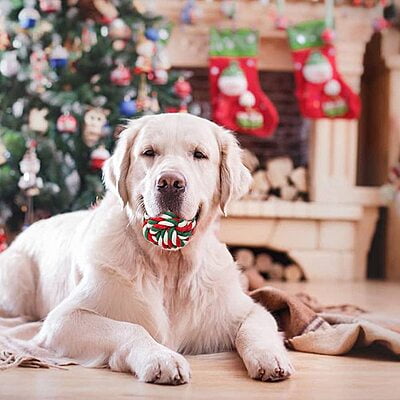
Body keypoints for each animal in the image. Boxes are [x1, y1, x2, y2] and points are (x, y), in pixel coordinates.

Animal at [0, 112, 294, 384]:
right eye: (149, 152)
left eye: (199, 154)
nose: (170, 183)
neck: (170, 266)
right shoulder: (64, 319)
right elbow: (131, 329)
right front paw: (161, 358)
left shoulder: (247, 308)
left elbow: (256, 326)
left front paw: (271, 357)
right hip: (17, 276)